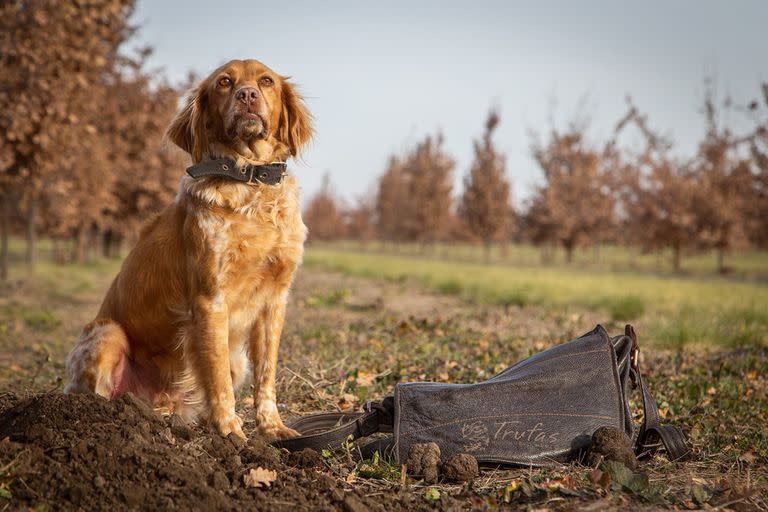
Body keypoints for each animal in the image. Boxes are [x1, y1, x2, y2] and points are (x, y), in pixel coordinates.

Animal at [64, 58, 314, 438]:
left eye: (266, 81)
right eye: (224, 82)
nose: (247, 95)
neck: (250, 181)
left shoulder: (274, 302)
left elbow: (266, 377)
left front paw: (272, 428)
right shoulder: (210, 301)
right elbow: (218, 380)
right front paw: (231, 433)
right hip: (108, 334)